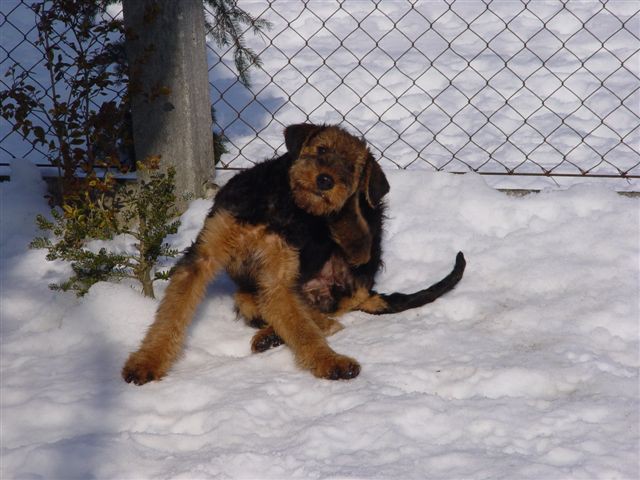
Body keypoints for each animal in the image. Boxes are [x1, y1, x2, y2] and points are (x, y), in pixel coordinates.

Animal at [122, 123, 464, 382]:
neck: (281, 204)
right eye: (321, 149)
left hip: (362, 244)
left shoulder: (278, 275)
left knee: (343, 283)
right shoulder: (204, 256)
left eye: (352, 167)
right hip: (251, 292)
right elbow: (172, 314)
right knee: (292, 310)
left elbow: (303, 330)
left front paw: (332, 363)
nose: (326, 181)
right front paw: (146, 362)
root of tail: (369, 290)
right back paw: (269, 336)